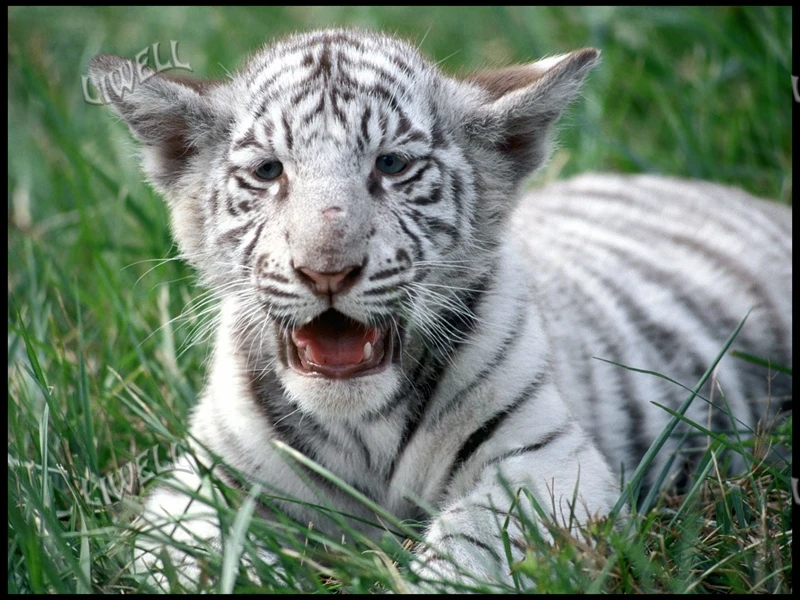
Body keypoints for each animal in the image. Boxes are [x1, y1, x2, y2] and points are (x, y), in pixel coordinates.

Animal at [89, 28, 792, 590]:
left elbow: (474, 540)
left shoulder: (550, 461)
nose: (326, 269)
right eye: (268, 172)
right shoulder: (202, 487)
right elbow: (194, 561)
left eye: (392, 165)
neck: (361, 428)